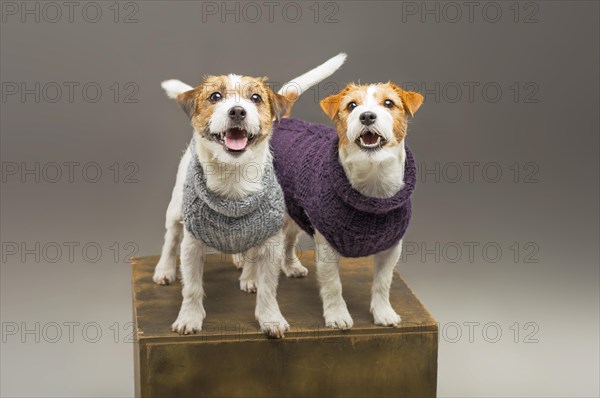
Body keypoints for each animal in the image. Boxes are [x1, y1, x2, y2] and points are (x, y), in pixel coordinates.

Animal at [154, 52, 346, 338]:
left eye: (255, 98)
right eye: (215, 96)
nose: (237, 111)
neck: (234, 182)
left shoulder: (270, 244)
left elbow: (268, 288)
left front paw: (270, 318)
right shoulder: (192, 246)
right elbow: (192, 287)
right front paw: (189, 317)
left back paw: (251, 274)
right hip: (176, 208)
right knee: (171, 238)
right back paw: (165, 269)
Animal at [270, 81, 424, 330]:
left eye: (388, 103)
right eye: (351, 105)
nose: (367, 116)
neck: (371, 185)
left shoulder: (391, 249)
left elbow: (383, 283)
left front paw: (383, 312)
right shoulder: (326, 247)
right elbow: (333, 285)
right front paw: (337, 315)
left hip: (294, 211)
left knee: (288, 239)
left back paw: (291, 265)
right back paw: (247, 276)